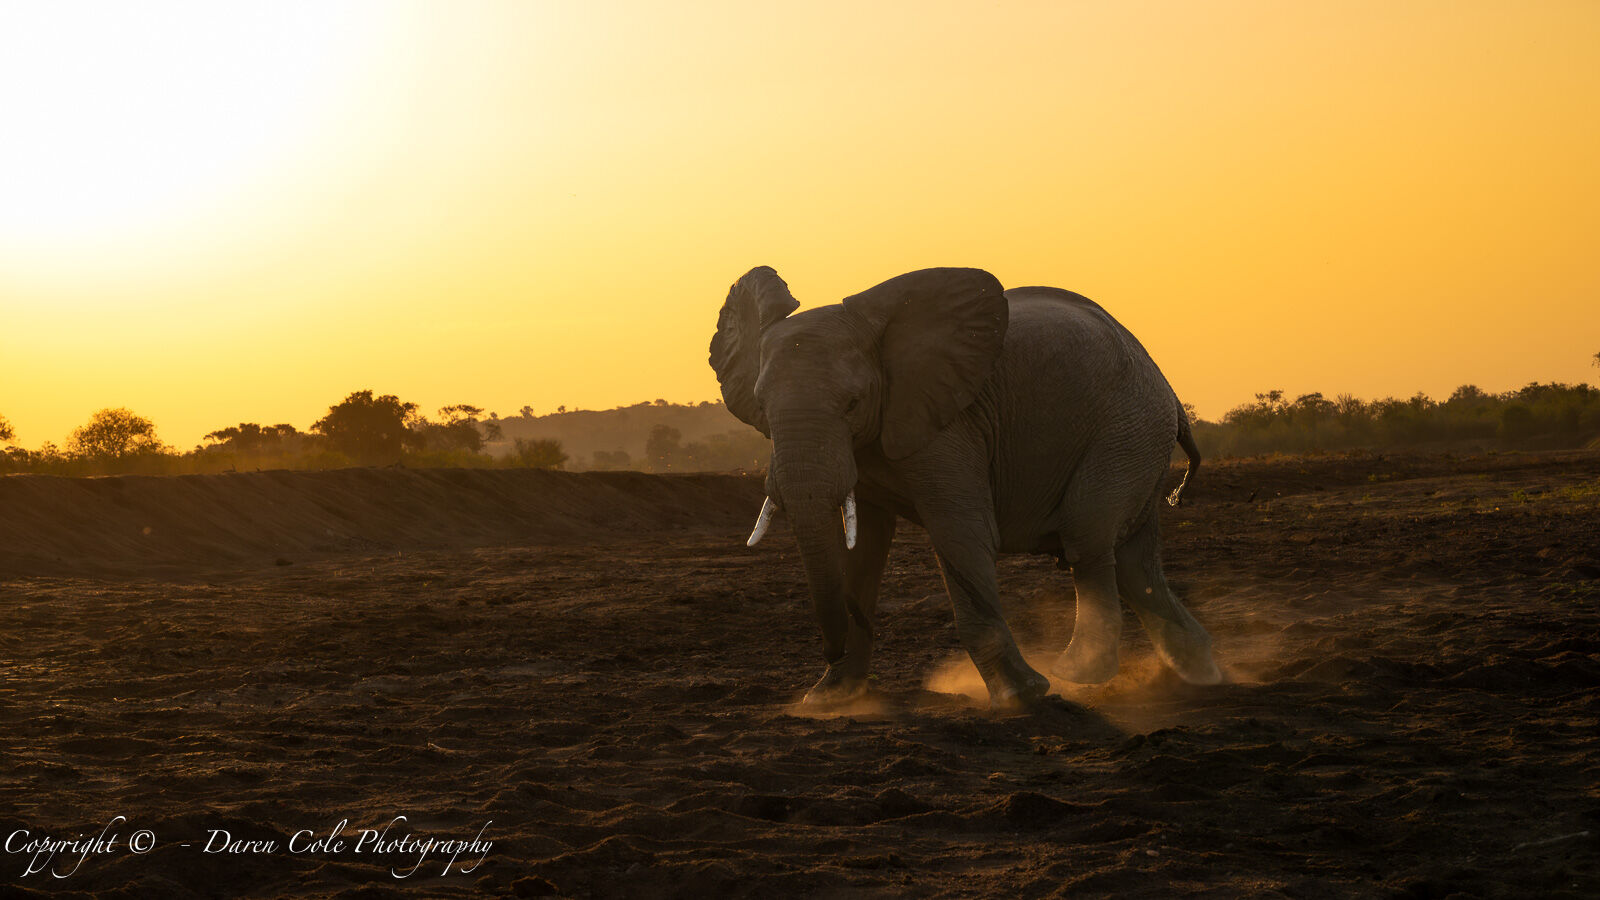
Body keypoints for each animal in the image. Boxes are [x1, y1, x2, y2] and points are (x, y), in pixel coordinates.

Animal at [709, 265, 1221, 709]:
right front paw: (828, 701)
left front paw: (1023, 696)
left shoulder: (949, 424)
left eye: (852, 403)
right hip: (1139, 438)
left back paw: (1076, 673)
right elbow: (863, 550)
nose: (830, 655)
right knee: (1137, 564)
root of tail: (1171, 394)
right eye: (760, 405)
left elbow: (961, 533)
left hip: (1126, 431)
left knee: (1089, 540)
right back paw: (1203, 675)